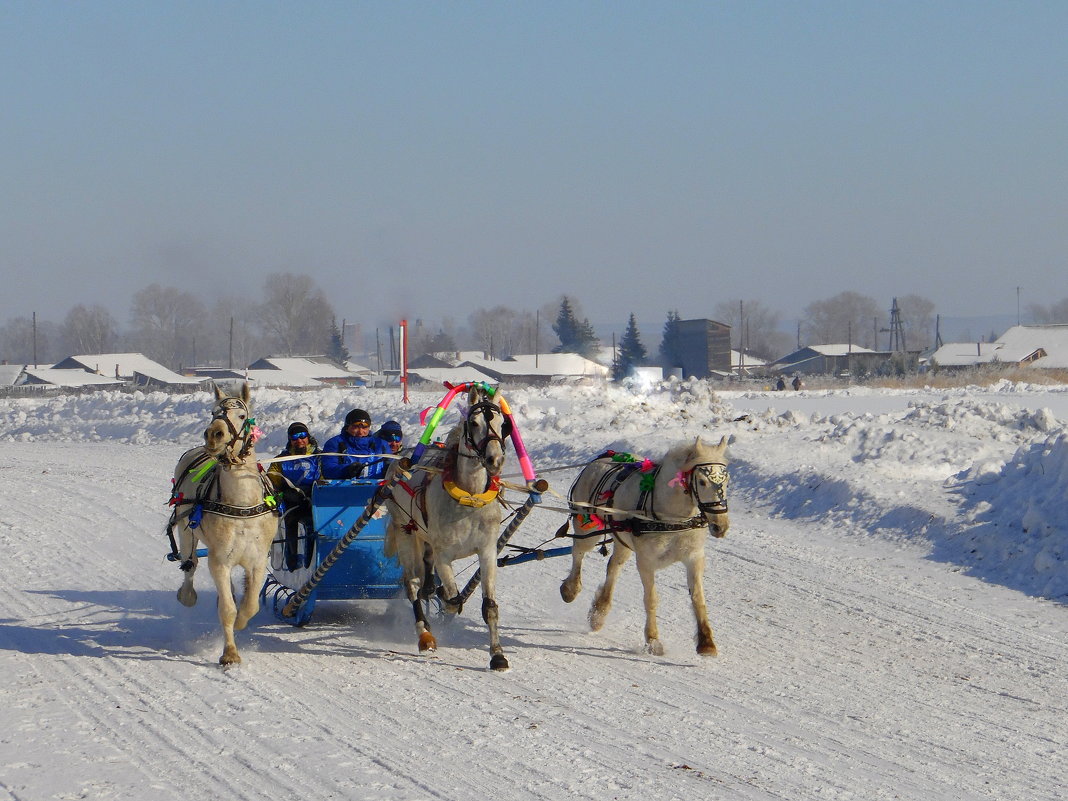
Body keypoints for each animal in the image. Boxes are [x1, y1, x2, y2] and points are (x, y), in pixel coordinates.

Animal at [167, 386, 279, 666]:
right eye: (213, 412)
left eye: (241, 415)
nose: (213, 434)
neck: (242, 505)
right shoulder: (219, 560)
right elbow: (227, 610)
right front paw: (229, 653)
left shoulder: (257, 560)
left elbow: (250, 605)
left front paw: (241, 621)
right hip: (185, 528)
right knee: (190, 563)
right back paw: (187, 594)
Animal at [388, 386, 512, 670]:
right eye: (474, 423)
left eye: (503, 424)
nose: (495, 460)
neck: (469, 499)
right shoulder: (444, 555)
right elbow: (453, 600)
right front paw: (444, 601)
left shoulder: (487, 552)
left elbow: (490, 607)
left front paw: (497, 654)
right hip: (404, 531)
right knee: (412, 584)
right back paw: (424, 634)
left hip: (425, 540)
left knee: (424, 573)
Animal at [559, 440, 726, 657]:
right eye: (703, 482)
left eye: (727, 480)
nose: (721, 526)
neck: (671, 519)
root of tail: (600, 459)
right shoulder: (646, 561)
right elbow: (651, 599)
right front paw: (653, 641)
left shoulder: (694, 557)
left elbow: (698, 598)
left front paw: (706, 642)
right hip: (587, 527)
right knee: (578, 552)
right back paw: (570, 589)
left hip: (622, 540)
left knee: (613, 566)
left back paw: (599, 612)